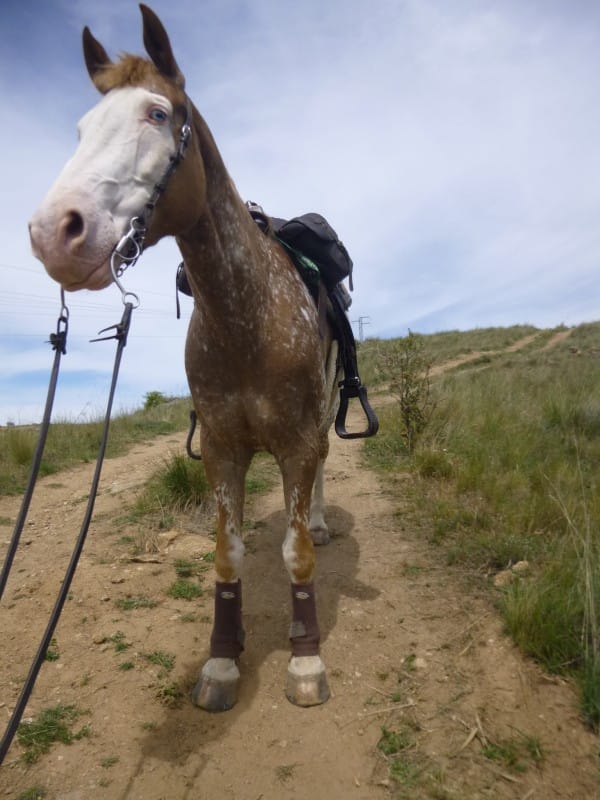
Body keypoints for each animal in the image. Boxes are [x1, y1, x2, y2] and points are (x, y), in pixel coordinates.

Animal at [29, 4, 342, 708]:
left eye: (156, 114)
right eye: (82, 127)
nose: (52, 232)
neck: (247, 319)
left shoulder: (297, 445)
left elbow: (299, 555)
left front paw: (305, 658)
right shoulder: (223, 449)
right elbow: (226, 556)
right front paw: (222, 661)